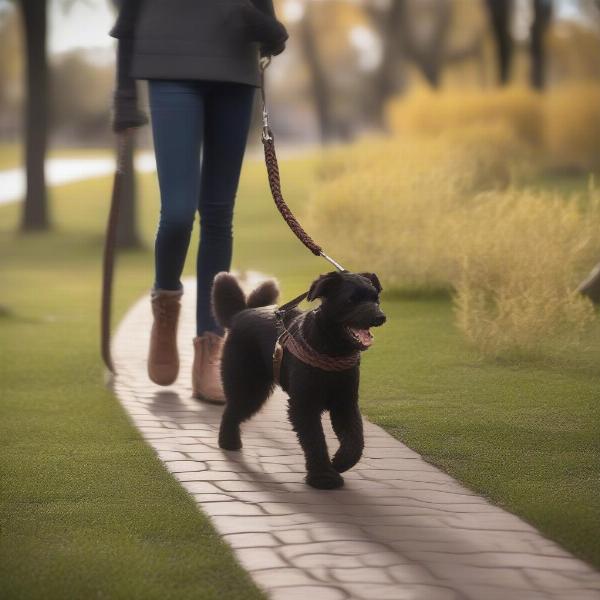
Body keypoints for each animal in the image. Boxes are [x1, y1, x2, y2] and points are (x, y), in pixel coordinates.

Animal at [213, 270, 386, 490]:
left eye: (376, 299)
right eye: (351, 300)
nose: (380, 317)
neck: (331, 350)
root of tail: (240, 314)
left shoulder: (345, 402)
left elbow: (355, 438)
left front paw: (339, 463)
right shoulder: (304, 405)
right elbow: (315, 440)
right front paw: (323, 477)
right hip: (249, 386)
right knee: (232, 410)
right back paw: (228, 442)